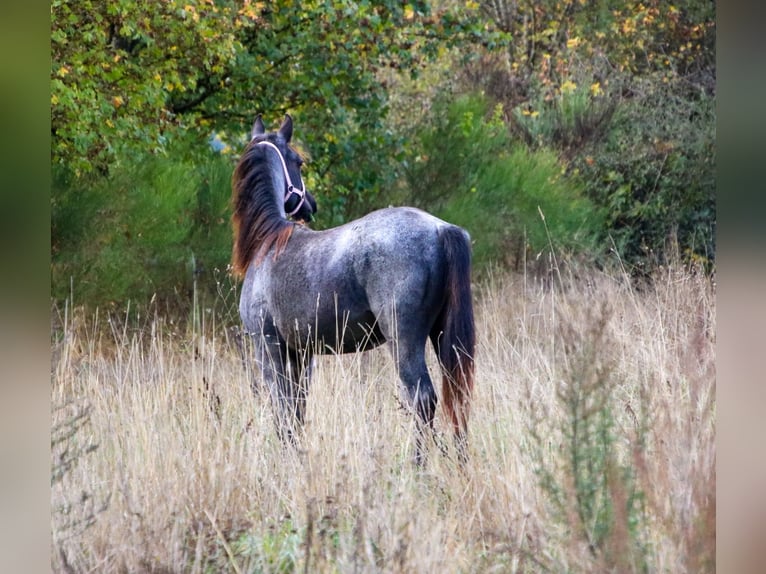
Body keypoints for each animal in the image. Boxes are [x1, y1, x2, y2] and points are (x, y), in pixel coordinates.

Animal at [232, 114, 475, 465]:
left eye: (298, 161)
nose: (310, 206)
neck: (269, 242)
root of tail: (441, 229)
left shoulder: (268, 347)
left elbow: (282, 408)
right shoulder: (302, 354)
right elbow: (297, 408)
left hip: (403, 340)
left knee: (422, 398)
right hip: (443, 338)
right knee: (457, 397)